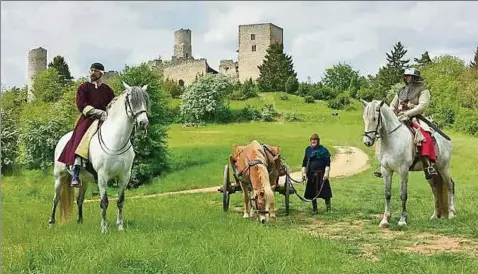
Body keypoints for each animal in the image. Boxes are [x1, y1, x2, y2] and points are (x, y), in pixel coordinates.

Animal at [48, 82, 149, 233]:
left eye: (145, 100)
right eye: (131, 100)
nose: (143, 123)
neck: (115, 141)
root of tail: (63, 139)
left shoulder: (124, 176)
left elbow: (120, 201)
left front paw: (120, 226)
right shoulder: (102, 176)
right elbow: (104, 202)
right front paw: (104, 228)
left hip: (84, 180)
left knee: (80, 199)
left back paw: (80, 221)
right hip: (59, 177)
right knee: (56, 198)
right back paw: (51, 222)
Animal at [362, 99, 456, 228]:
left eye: (375, 118)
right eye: (364, 118)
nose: (367, 142)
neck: (392, 139)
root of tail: (446, 140)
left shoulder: (403, 170)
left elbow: (403, 194)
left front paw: (402, 219)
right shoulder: (386, 170)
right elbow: (387, 193)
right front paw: (385, 219)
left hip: (444, 167)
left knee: (449, 185)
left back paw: (451, 214)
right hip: (432, 172)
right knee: (435, 189)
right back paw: (435, 215)